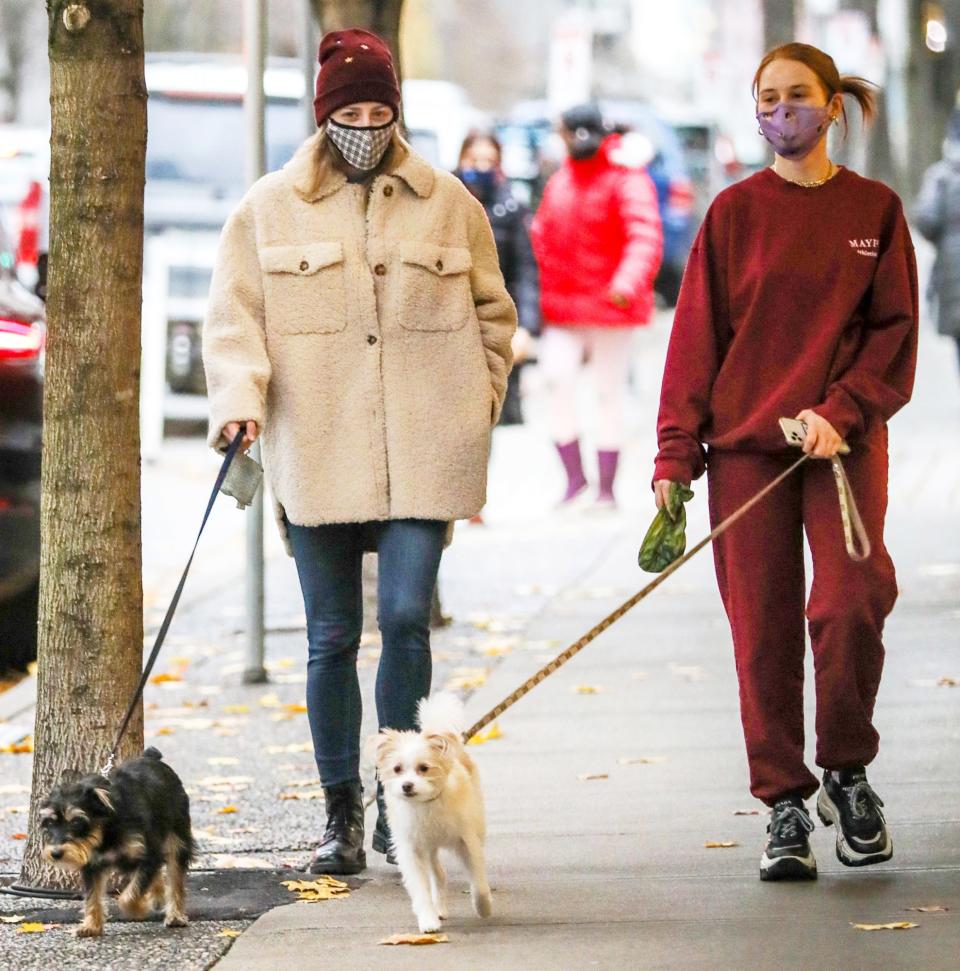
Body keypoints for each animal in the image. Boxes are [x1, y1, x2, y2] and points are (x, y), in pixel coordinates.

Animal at [39, 748, 193, 936]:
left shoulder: (150, 853)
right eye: (50, 823)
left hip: (177, 840)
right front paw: (91, 926)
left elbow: (131, 893)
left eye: (76, 822)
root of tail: (151, 757)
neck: (106, 828)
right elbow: (93, 896)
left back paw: (175, 916)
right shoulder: (93, 865)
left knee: (176, 879)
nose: (55, 853)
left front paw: (136, 909)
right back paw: (157, 897)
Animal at [374, 692, 496, 936]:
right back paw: (438, 908)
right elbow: (420, 889)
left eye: (424, 768)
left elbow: (478, 880)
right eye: (397, 769)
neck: (426, 803)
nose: (407, 786)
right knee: (438, 874)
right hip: (427, 848)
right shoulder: (411, 850)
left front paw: (484, 906)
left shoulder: (467, 841)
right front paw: (428, 919)